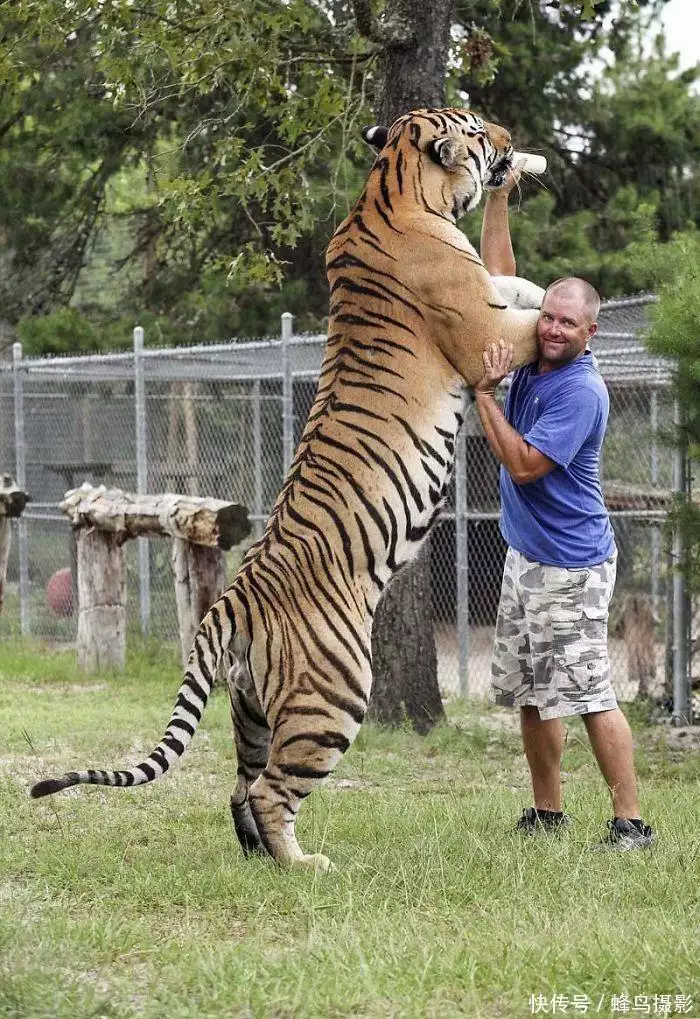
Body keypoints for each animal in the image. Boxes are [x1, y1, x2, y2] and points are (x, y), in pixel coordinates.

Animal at [30, 107, 546, 872]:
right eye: (481, 129)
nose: (512, 141)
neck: (393, 187)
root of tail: (229, 603)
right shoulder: (483, 328)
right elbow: (530, 321)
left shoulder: (487, 294)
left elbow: (519, 288)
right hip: (334, 697)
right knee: (273, 790)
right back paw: (304, 865)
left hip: (251, 710)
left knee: (240, 784)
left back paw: (259, 860)